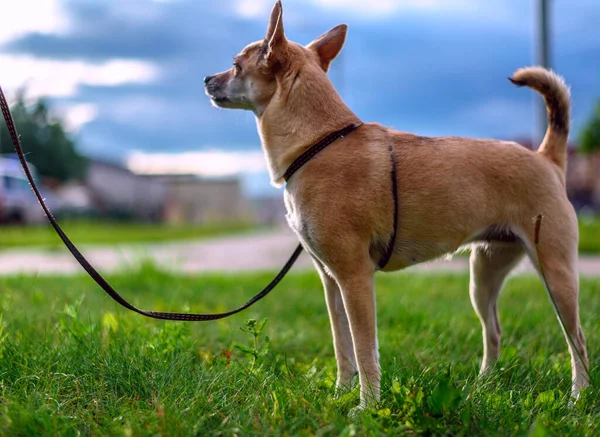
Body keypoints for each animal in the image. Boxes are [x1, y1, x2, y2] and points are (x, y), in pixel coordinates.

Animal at [204, 0, 588, 408]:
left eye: (235, 64)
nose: (207, 79)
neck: (319, 142)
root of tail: (546, 157)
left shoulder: (354, 278)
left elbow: (364, 349)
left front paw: (366, 406)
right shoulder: (331, 282)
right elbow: (343, 348)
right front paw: (340, 395)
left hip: (555, 272)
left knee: (577, 340)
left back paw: (577, 398)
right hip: (483, 275)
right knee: (494, 331)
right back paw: (482, 386)